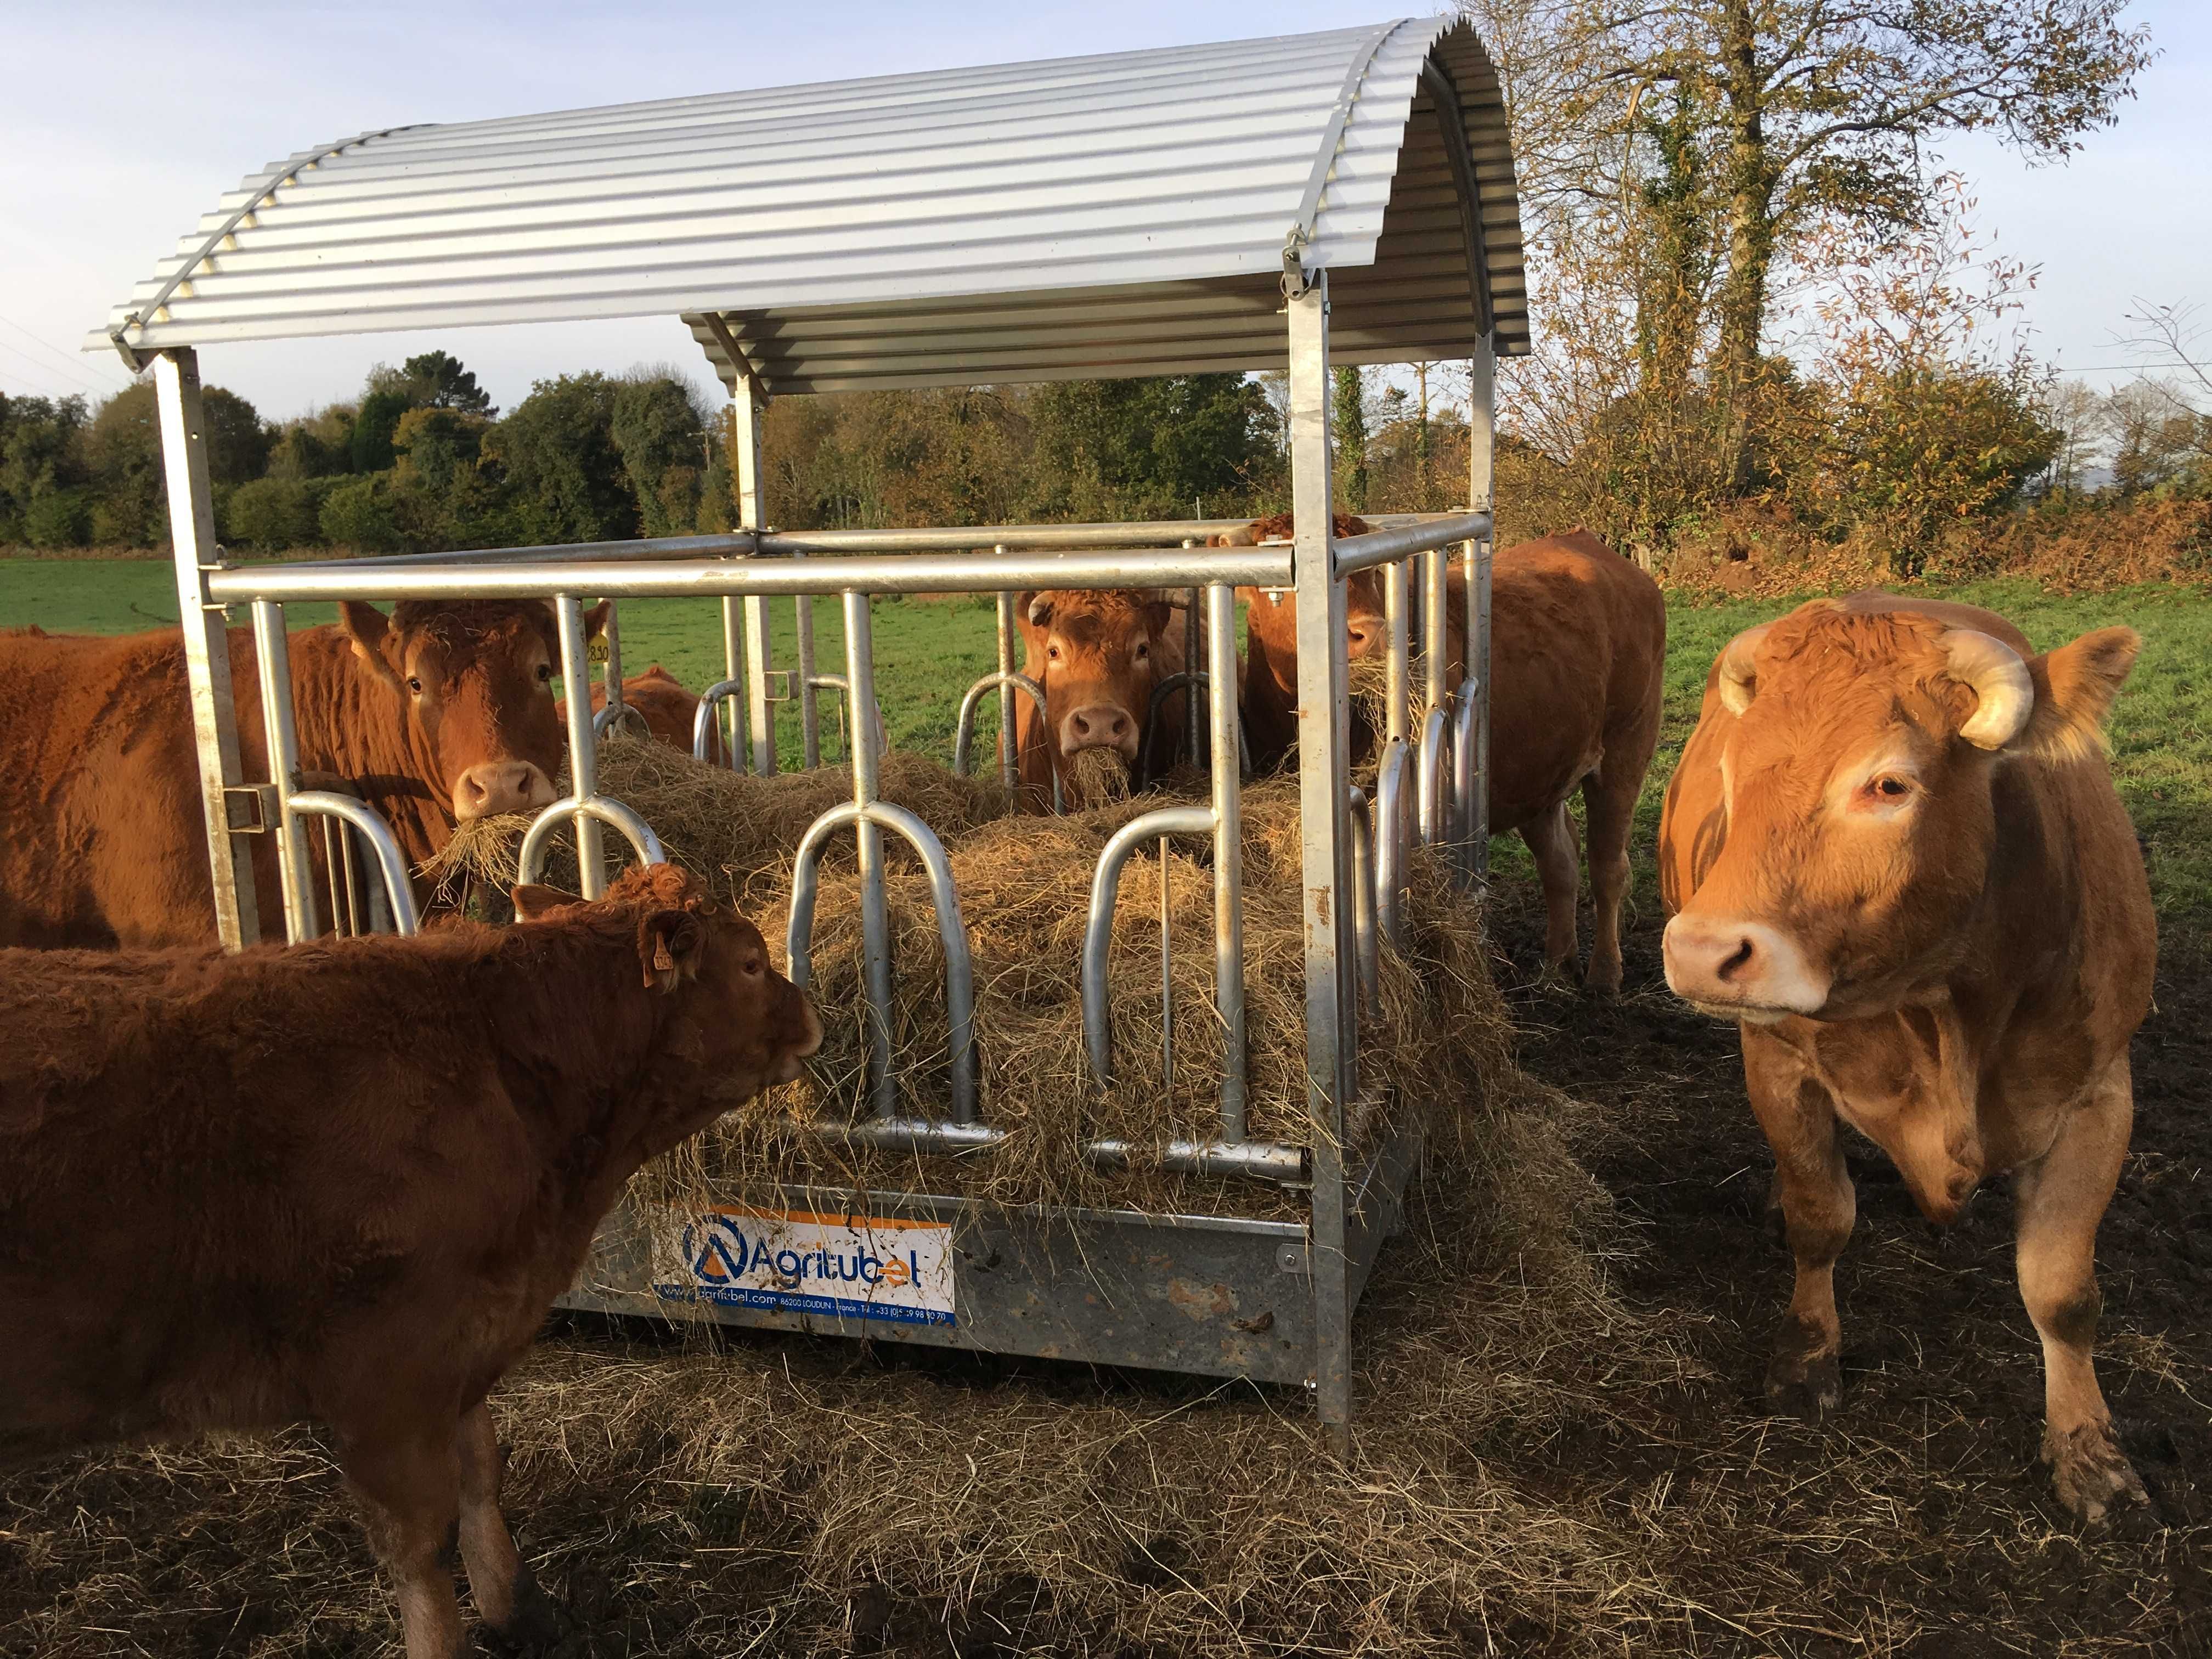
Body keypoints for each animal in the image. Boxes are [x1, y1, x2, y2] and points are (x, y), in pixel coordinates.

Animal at [0, 862, 827, 1654]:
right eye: (752, 963)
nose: (815, 1016)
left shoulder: (465, 1338)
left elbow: (481, 1475)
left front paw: (519, 1607)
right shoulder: (386, 1373)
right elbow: (420, 1544)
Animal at [1663, 592, 2159, 1531]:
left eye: (1888, 784)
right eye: (1734, 777)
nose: (1704, 953)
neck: (1948, 1008)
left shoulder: (2099, 1096)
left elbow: (2063, 1291)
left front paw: (2088, 1447)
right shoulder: (1777, 1061)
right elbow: (1819, 1217)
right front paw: (1806, 1358)